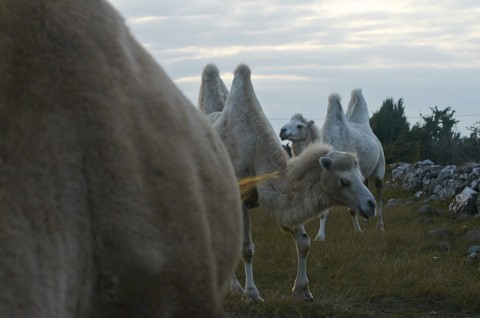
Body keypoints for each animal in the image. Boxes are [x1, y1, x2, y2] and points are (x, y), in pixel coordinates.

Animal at [278, 88, 386, 240]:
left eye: (300, 126)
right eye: (288, 121)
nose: (282, 131)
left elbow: (330, 211)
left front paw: (321, 236)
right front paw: (359, 230)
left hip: (380, 165)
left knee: (379, 195)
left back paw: (380, 226)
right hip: (364, 174)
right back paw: (367, 224)